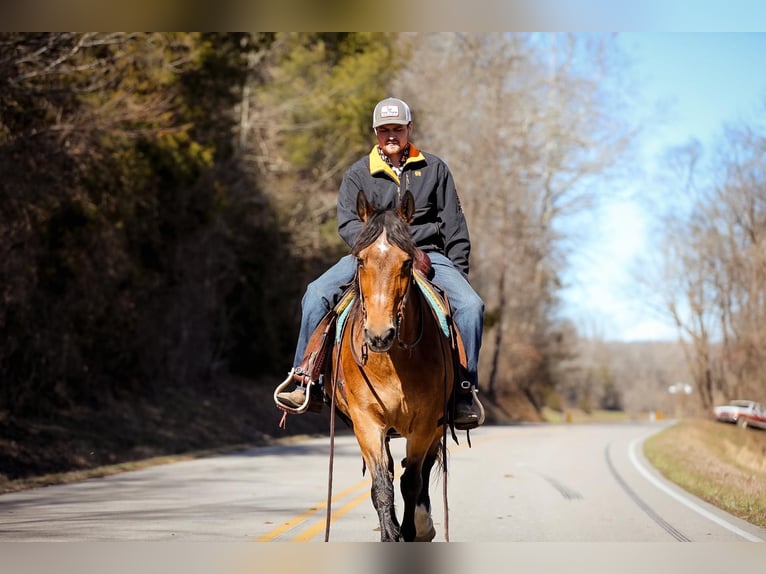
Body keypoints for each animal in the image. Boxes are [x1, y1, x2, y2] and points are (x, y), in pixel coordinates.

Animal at [330, 190, 456, 544]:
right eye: (360, 261)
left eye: (407, 262)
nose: (379, 334)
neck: (391, 363)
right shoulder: (367, 422)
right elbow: (382, 486)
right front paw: (391, 534)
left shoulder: (425, 423)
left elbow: (411, 481)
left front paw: (412, 531)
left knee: (422, 471)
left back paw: (424, 524)